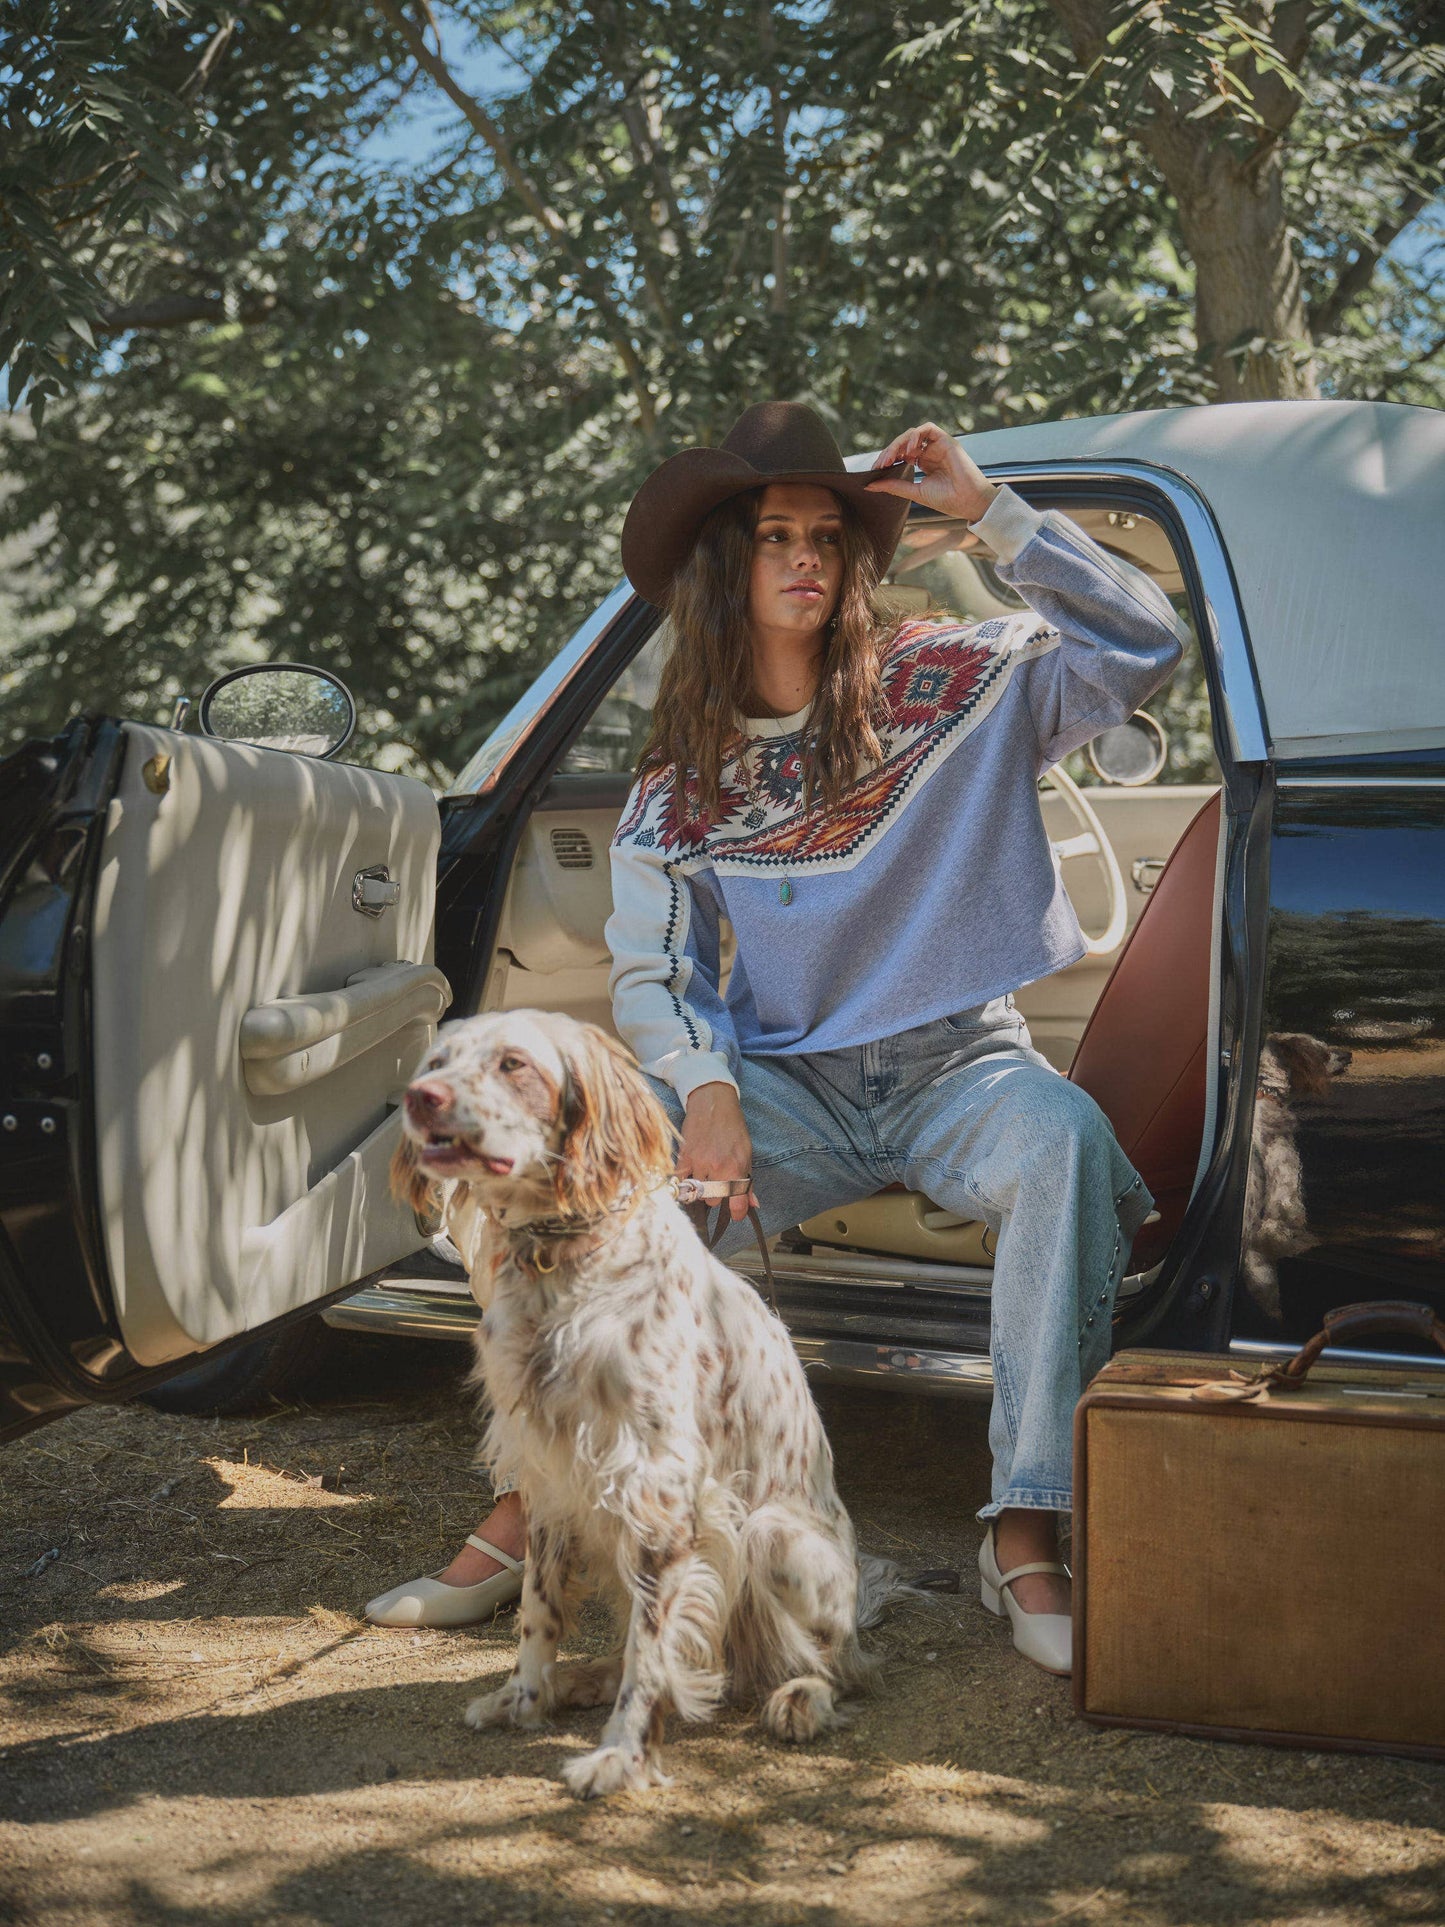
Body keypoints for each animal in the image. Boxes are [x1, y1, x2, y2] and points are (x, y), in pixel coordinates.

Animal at [391, 1009, 900, 1799]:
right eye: (438, 1060)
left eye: (513, 1064)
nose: (419, 1099)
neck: (561, 1258)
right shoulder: (549, 1475)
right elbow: (539, 1611)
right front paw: (524, 1698)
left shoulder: (657, 1491)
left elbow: (650, 1655)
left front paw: (622, 1754)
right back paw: (583, 1680)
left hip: (769, 1536)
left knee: (834, 1664)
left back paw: (800, 1698)